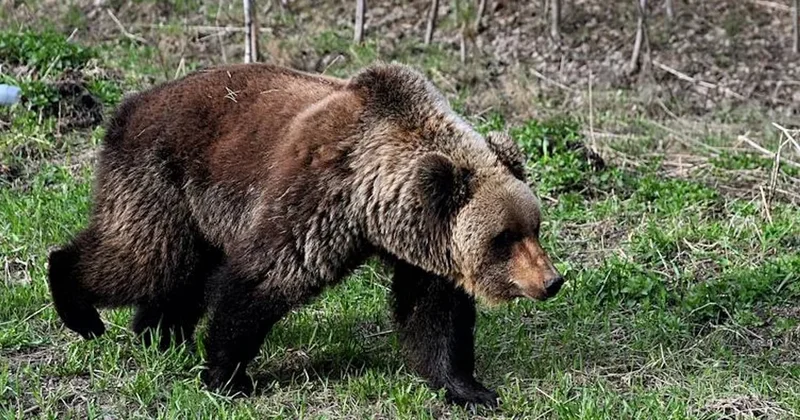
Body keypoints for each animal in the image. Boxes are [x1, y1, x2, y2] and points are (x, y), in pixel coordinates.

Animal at [46, 61, 565, 407]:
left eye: (534, 227)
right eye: (504, 237)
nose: (552, 280)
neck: (372, 199)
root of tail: (129, 105)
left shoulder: (421, 247)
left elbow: (434, 315)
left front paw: (470, 388)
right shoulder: (315, 196)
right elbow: (265, 278)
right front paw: (227, 376)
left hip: (199, 215)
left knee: (183, 275)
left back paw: (160, 335)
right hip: (163, 179)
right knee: (141, 257)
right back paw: (81, 310)